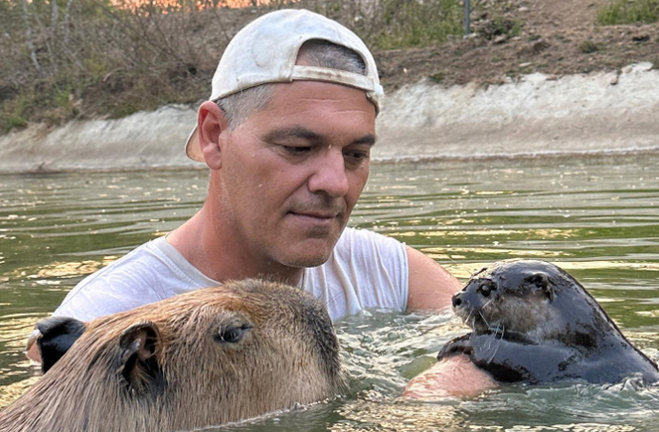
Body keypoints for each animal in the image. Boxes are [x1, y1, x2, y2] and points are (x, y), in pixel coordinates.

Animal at [438, 260, 659, 384]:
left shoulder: (556, 360)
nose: (456, 298)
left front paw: (455, 343)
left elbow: (497, 349)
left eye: (485, 289)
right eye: (470, 279)